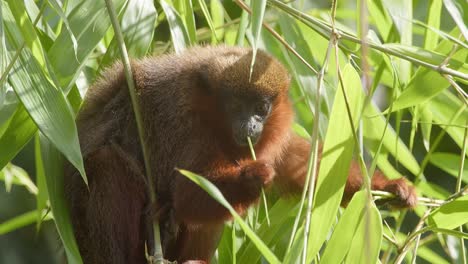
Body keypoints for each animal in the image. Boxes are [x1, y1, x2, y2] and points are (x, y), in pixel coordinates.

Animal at [63, 46, 416, 262]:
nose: (250, 124)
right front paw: (254, 177)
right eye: (235, 106)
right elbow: (189, 193)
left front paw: (391, 188)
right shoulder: (180, 119)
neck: (210, 112)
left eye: (261, 108)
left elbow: (312, 172)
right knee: (106, 164)